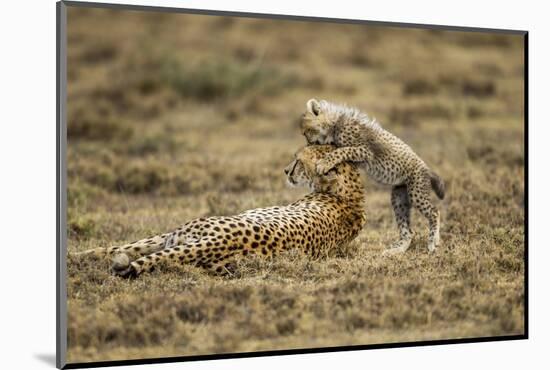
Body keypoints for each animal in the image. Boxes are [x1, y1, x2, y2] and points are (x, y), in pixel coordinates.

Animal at [73, 145, 366, 278]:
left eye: (298, 162)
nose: (285, 171)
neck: (350, 193)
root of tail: (223, 241)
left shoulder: (164, 236)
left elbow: (124, 245)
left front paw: (77, 254)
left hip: (181, 234)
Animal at [300, 98, 446, 254]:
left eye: (306, 131)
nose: (308, 143)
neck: (335, 123)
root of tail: (426, 167)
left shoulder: (365, 151)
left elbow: (341, 151)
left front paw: (323, 163)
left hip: (416, 192)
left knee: (435, 212)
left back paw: (433, 242)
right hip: (398, 198)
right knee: (408, 231)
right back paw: (395, 251)